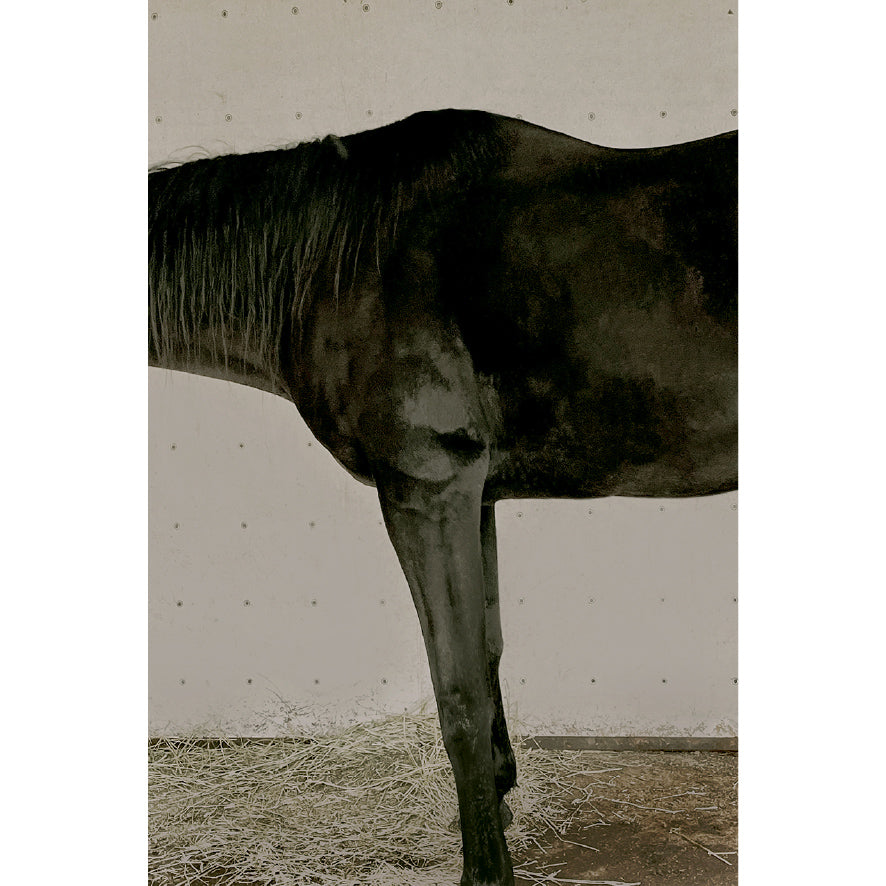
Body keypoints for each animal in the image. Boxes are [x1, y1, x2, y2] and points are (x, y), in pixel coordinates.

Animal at [149, 108, 737, 886]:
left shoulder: (426, 487)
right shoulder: (474, 495)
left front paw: (485, 870)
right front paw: (500, 808)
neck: (336, 256)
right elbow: (487, 654)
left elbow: (456, 689)